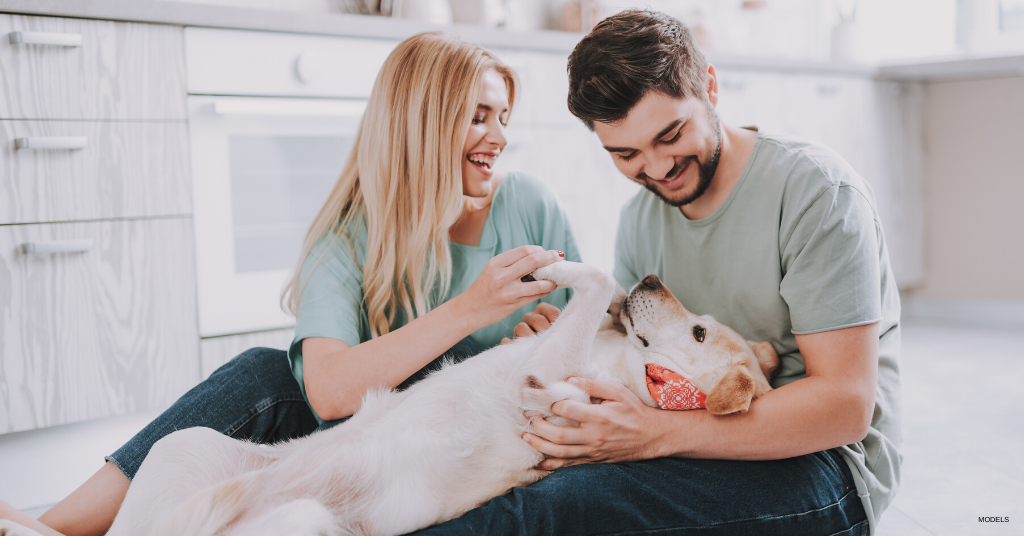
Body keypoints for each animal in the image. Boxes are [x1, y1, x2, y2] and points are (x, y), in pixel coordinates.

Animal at [0, 261, 774, 536]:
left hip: (305, 524)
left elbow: (587, 294)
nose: (653, 277)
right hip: (182, 447)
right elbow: (588, 287)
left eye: (699, 331)